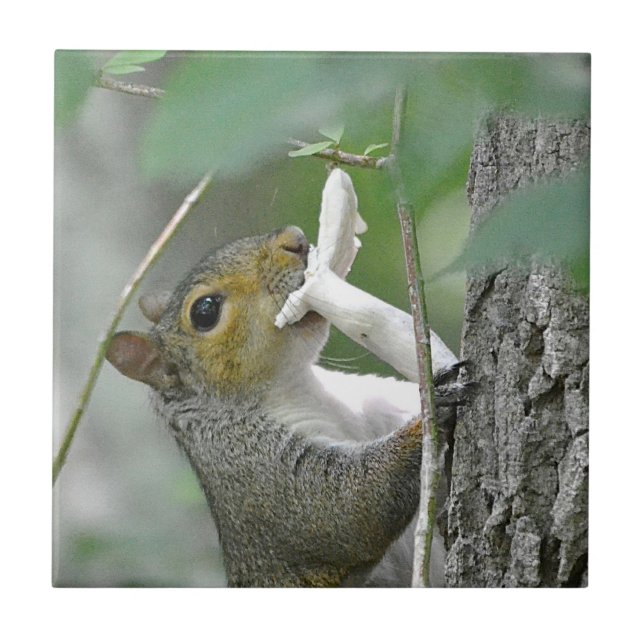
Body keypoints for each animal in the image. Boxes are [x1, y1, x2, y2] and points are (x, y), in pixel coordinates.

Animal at [107, 225, 465, 587]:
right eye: (204, 311)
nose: (294, 239)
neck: (297, 385)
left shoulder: (372, 403)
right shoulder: (252, 467)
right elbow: (346, 507)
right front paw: (432, 410)